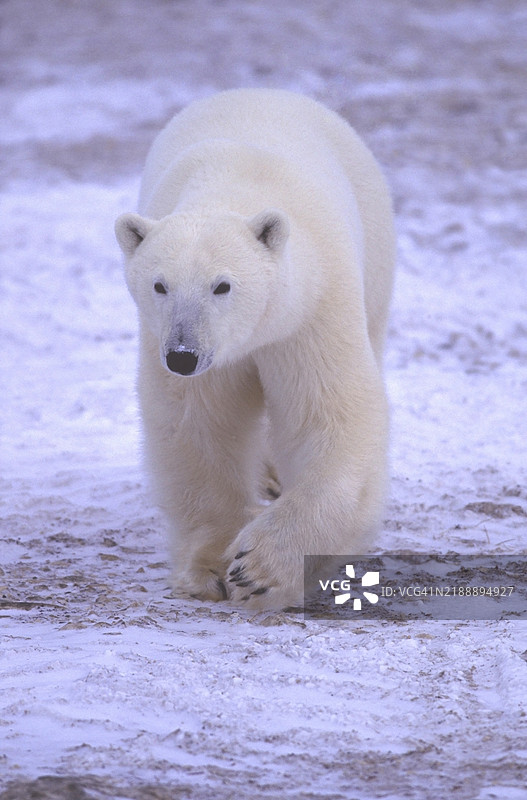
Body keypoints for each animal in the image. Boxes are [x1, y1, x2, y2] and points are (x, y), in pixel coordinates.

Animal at [115, 88, 395, 610]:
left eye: (222, 285)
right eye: (160, 285)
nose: (182, 355)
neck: (236, 186)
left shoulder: (311, 309)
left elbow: (329, 417)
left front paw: (261, 568)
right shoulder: (189, 354)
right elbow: (198, 426)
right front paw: (209, 569)